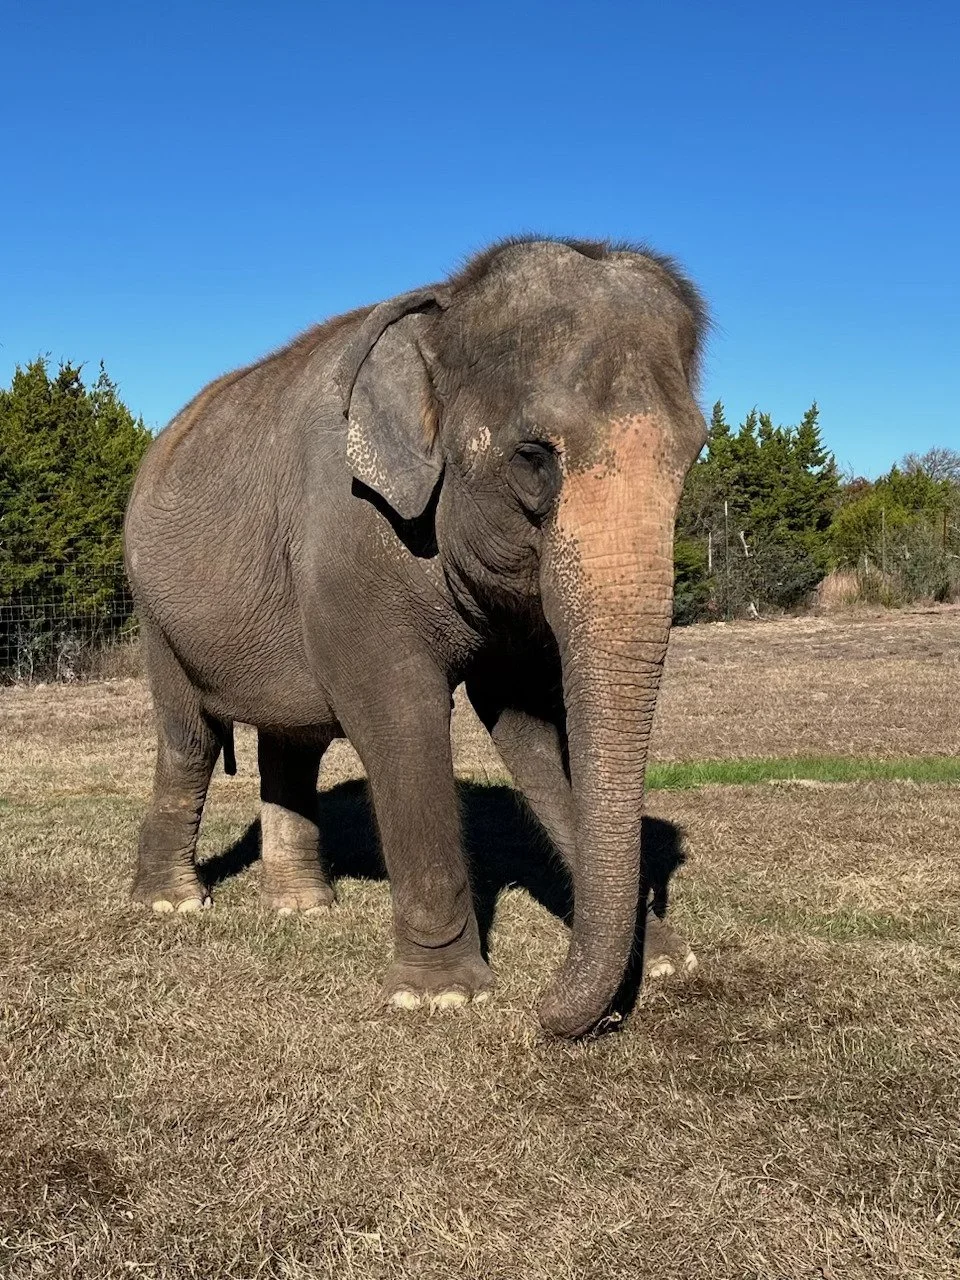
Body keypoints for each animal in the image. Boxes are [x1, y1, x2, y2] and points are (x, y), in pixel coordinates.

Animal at [124, 236, 708, 1038]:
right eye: (533, 456)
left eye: (695, 455)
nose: (546, 1013)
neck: (442, 307)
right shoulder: (348, 540)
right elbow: (400, 715)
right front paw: (442, 997)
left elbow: (532, 730)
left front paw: (670, 965)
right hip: (155, 607)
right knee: (192, 737)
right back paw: (172, 904)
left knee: (292, 743)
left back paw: (304, 911)